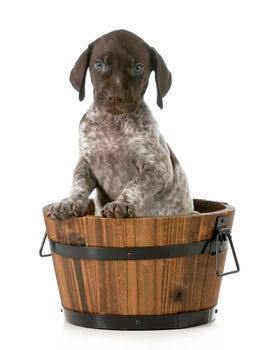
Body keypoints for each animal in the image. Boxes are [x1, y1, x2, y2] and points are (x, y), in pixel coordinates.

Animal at [48, 29, 193, 219]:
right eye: (99, 64)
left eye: (138, 67)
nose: (114, 96)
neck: (113, 122)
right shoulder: (86, 162)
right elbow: (78, 183)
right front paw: (69, 201)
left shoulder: (158, 167)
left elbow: (135, 184)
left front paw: (122, 203)